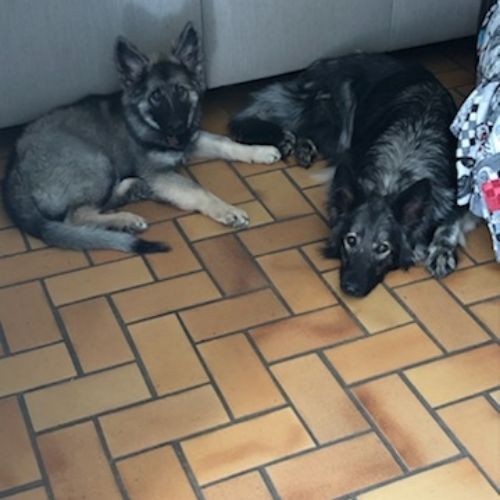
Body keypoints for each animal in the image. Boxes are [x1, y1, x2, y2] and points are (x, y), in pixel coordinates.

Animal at [2, 22, 281, 253]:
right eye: (156, 96)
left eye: (181, 91)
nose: (177, 127)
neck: (146, 121)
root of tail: (14, 166)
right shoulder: (159, 173)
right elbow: (198, 191)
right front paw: (227, 210)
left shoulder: (191, 141)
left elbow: (225, 143)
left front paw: (259, 151)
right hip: (96, 162)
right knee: (75, 217)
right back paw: (124, 219)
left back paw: (133, 190)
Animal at [230, 53, 476, 296]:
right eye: (350, 240)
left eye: (383, 248)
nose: (350, 288)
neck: (396, 175)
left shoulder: (461, 192)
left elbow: (450, 222)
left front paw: (442, 251)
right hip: (343, 110)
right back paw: (285, 139)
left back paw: (301, 146)